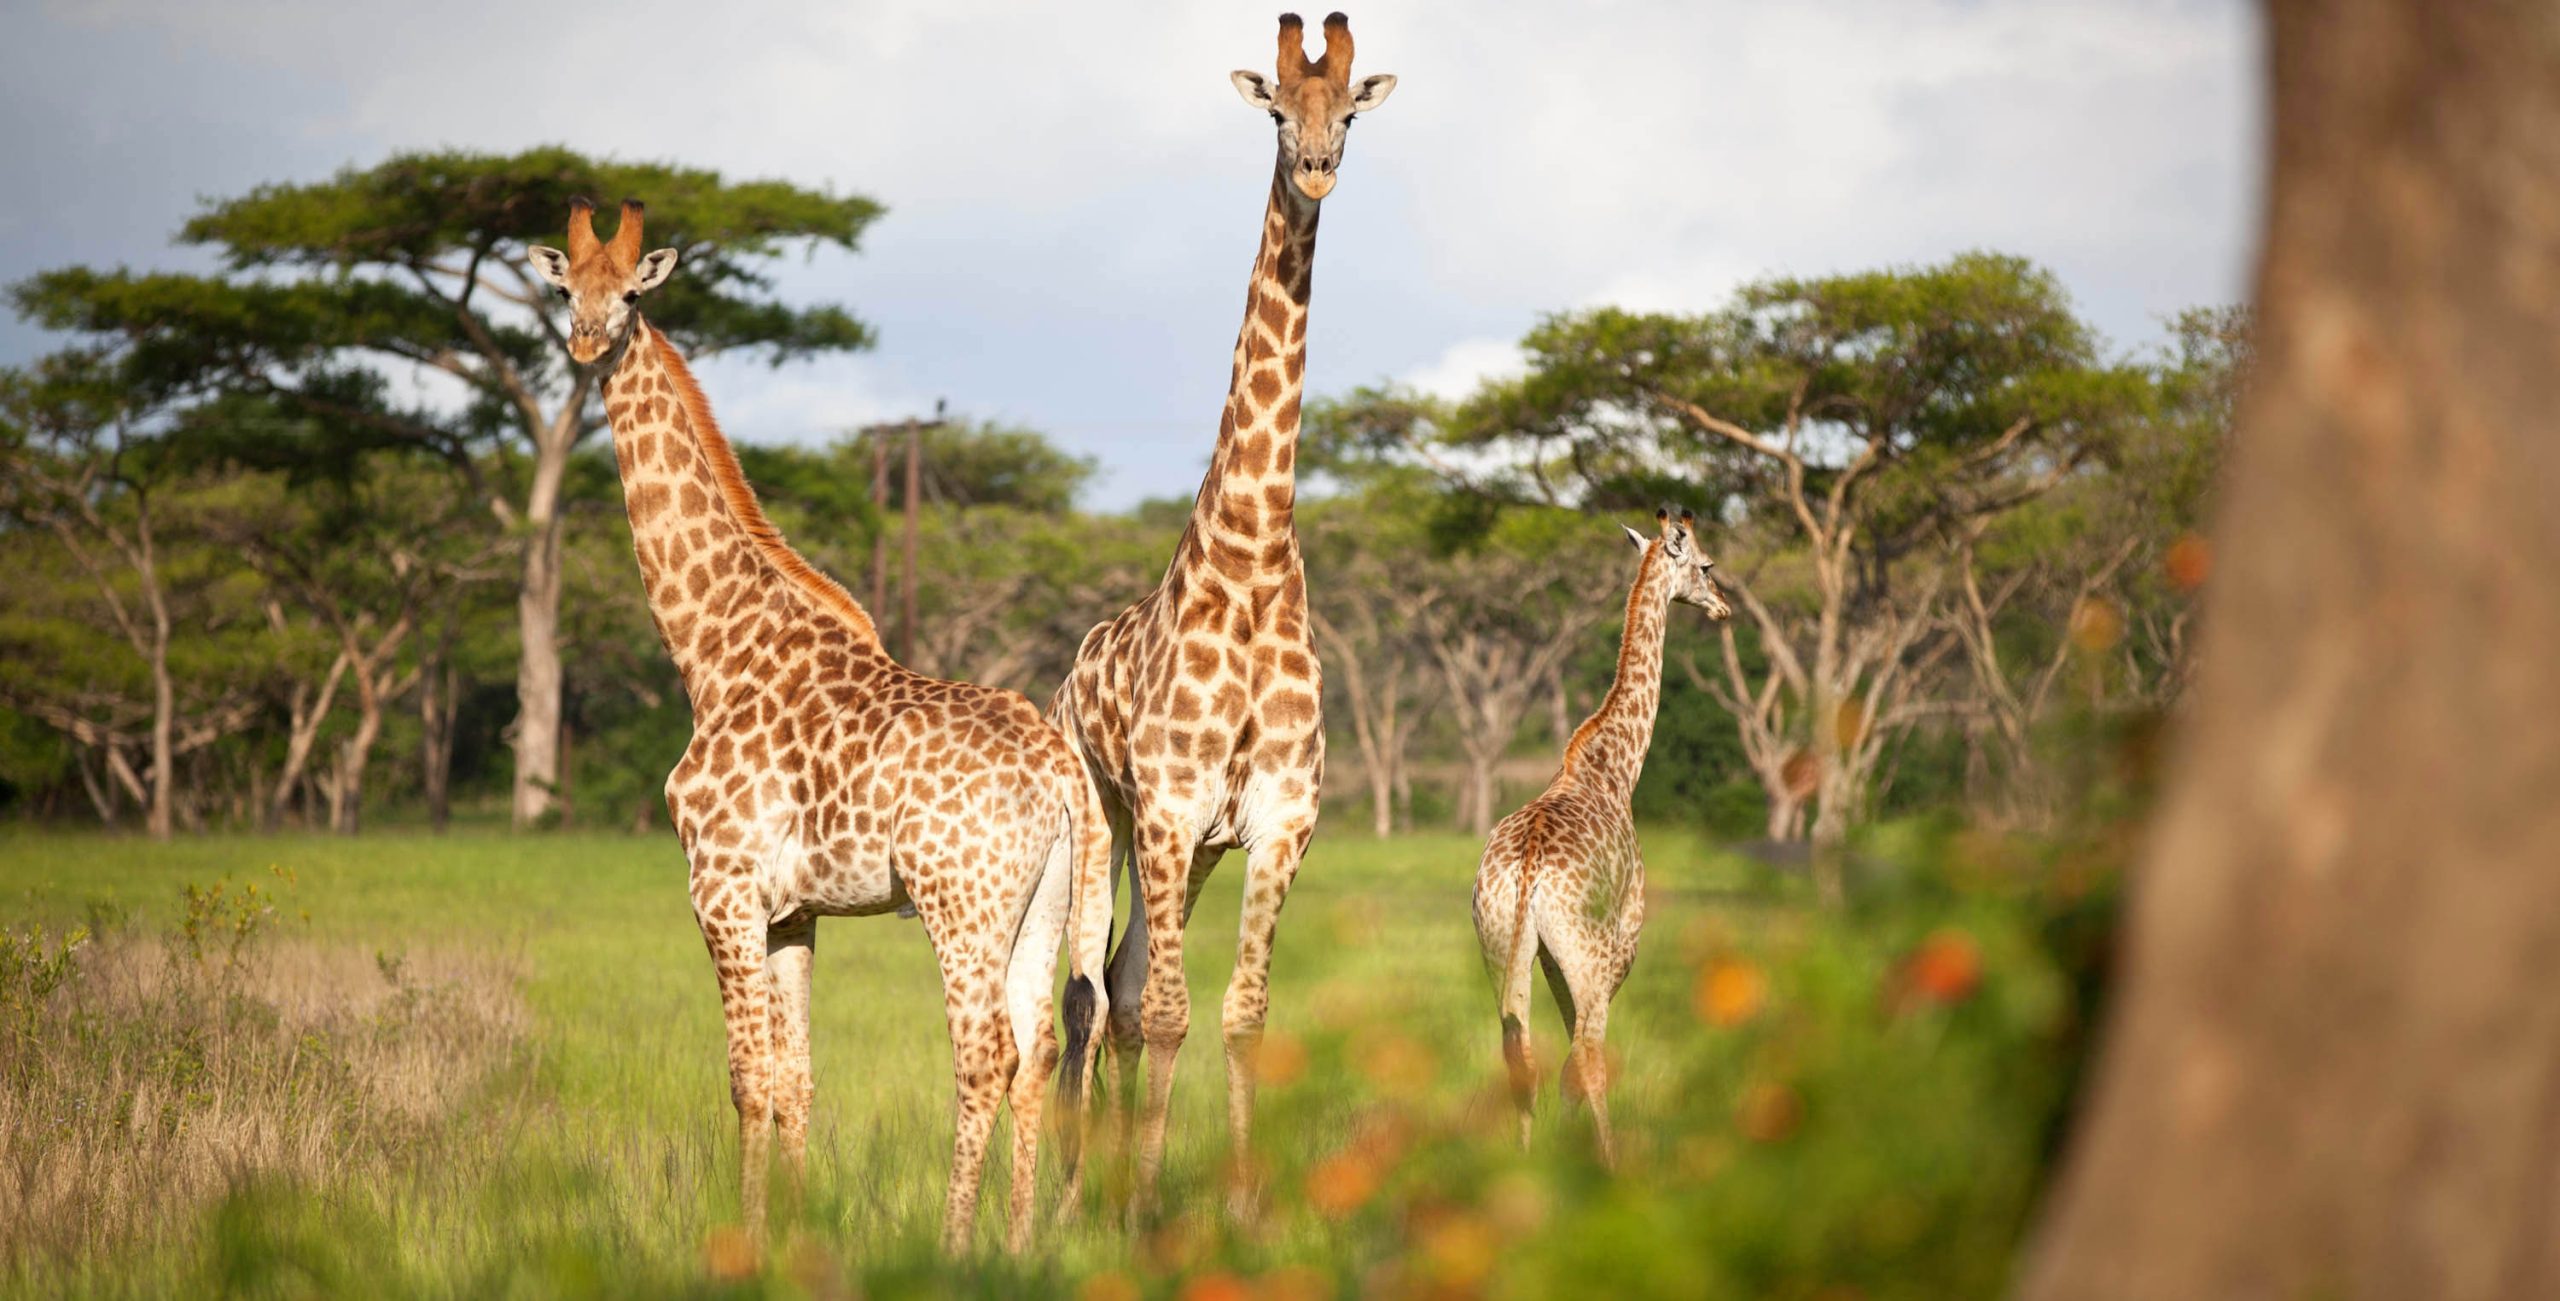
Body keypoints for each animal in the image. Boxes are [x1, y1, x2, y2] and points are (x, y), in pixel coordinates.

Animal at [527, 199, 1114, 1254]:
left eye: (631, 294)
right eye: (566, 290)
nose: (587, 342)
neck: (710, 646)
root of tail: (1062, 771)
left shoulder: (719, 889)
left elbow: (746, 1080)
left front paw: (744, 1240)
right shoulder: (793, 909)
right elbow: (797, 1079)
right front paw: (794, 1239)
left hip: (960, 902)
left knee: (984, 1052)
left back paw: (956, 1246)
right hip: (1045, 902)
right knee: (1043, 1045)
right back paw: (1017, 1244)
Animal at [1047, 12, 1397, 1221]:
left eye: (1348, 114)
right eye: (1277, 112)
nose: (1318, 169)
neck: (1248, 560)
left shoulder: (1280, 817)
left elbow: (1241, 1015)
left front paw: (1240, 1205)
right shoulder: (1166, 803)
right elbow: (1165, 1013)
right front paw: (1146, 1206)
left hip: (1191, 847)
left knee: (1117, 979)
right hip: (1106, 814)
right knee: (1092, 990)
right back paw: (1078, 1195)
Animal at [1472, 509, 1733, 1168]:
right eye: (1707, 565)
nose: (1723, 607)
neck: (1615, 767)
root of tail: (1527, 870)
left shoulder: (1547, 955)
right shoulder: (1625, 940)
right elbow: (1586, 1055)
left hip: (1500, 944)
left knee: (1520, 1054)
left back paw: (1524, 1165)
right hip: (1589, 952)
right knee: (1587, 1056)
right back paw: (1613, 1166)